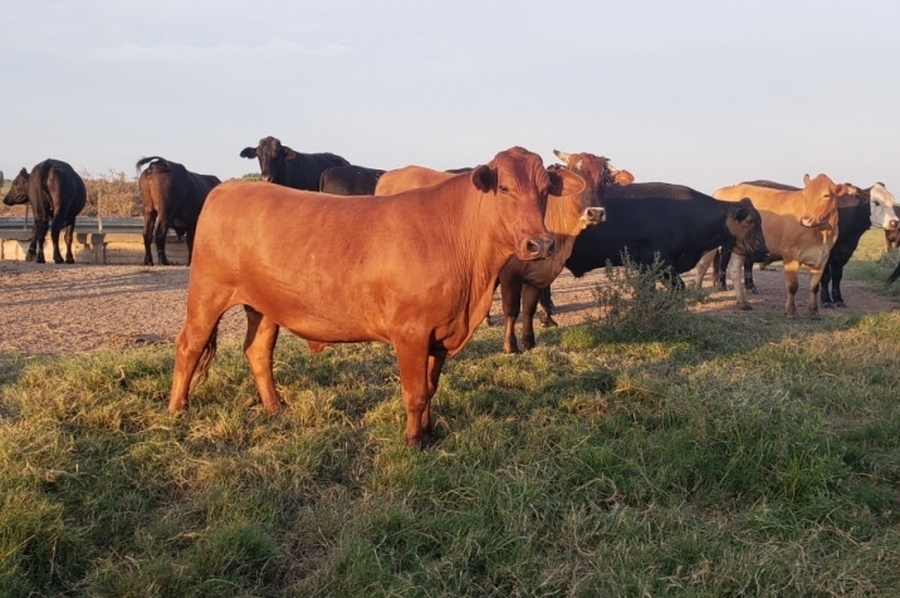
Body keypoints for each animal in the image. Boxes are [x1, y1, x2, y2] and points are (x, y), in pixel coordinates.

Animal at [170, 145, 588, 448]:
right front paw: (413, 441)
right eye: (504, 188)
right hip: (208, 292)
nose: (540, 243)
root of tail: (229, 186)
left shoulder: (439, 332)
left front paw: (430, 432)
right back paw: (177, 410)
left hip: (265, 304)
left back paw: (275, 409)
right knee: (189, 345)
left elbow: (431, 388)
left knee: (257, 351)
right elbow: (415, 392)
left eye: (545, 191)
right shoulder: (410, 331)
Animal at [708, 175, 848, 318]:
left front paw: (814, 313)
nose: (806, 220)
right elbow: (792, 286)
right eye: (805, 193)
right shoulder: (790, 255)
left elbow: (814, 287)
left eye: (826, 195)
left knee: (735, 269)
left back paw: (743, 302)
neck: (821, 233)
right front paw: (791, 312)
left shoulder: (822, 258)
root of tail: (724, 189)